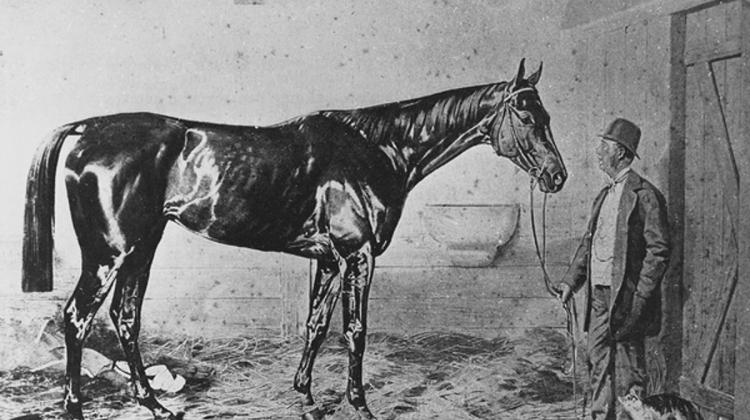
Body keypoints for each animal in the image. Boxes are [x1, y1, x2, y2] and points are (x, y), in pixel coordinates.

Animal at [22, 59, 566, 420]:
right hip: (109, 254)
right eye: (525, 115)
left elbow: (316, 326)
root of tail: (85, 130)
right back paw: (75, 408)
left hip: (141, 248)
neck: (376, 149)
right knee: (77, 318)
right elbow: (354, 331)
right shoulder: (357, 255)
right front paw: (359, 405)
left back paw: (154, 404)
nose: (557, 177)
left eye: (546, 115)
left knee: (125, 318)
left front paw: (305, 397)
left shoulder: (326, 259)